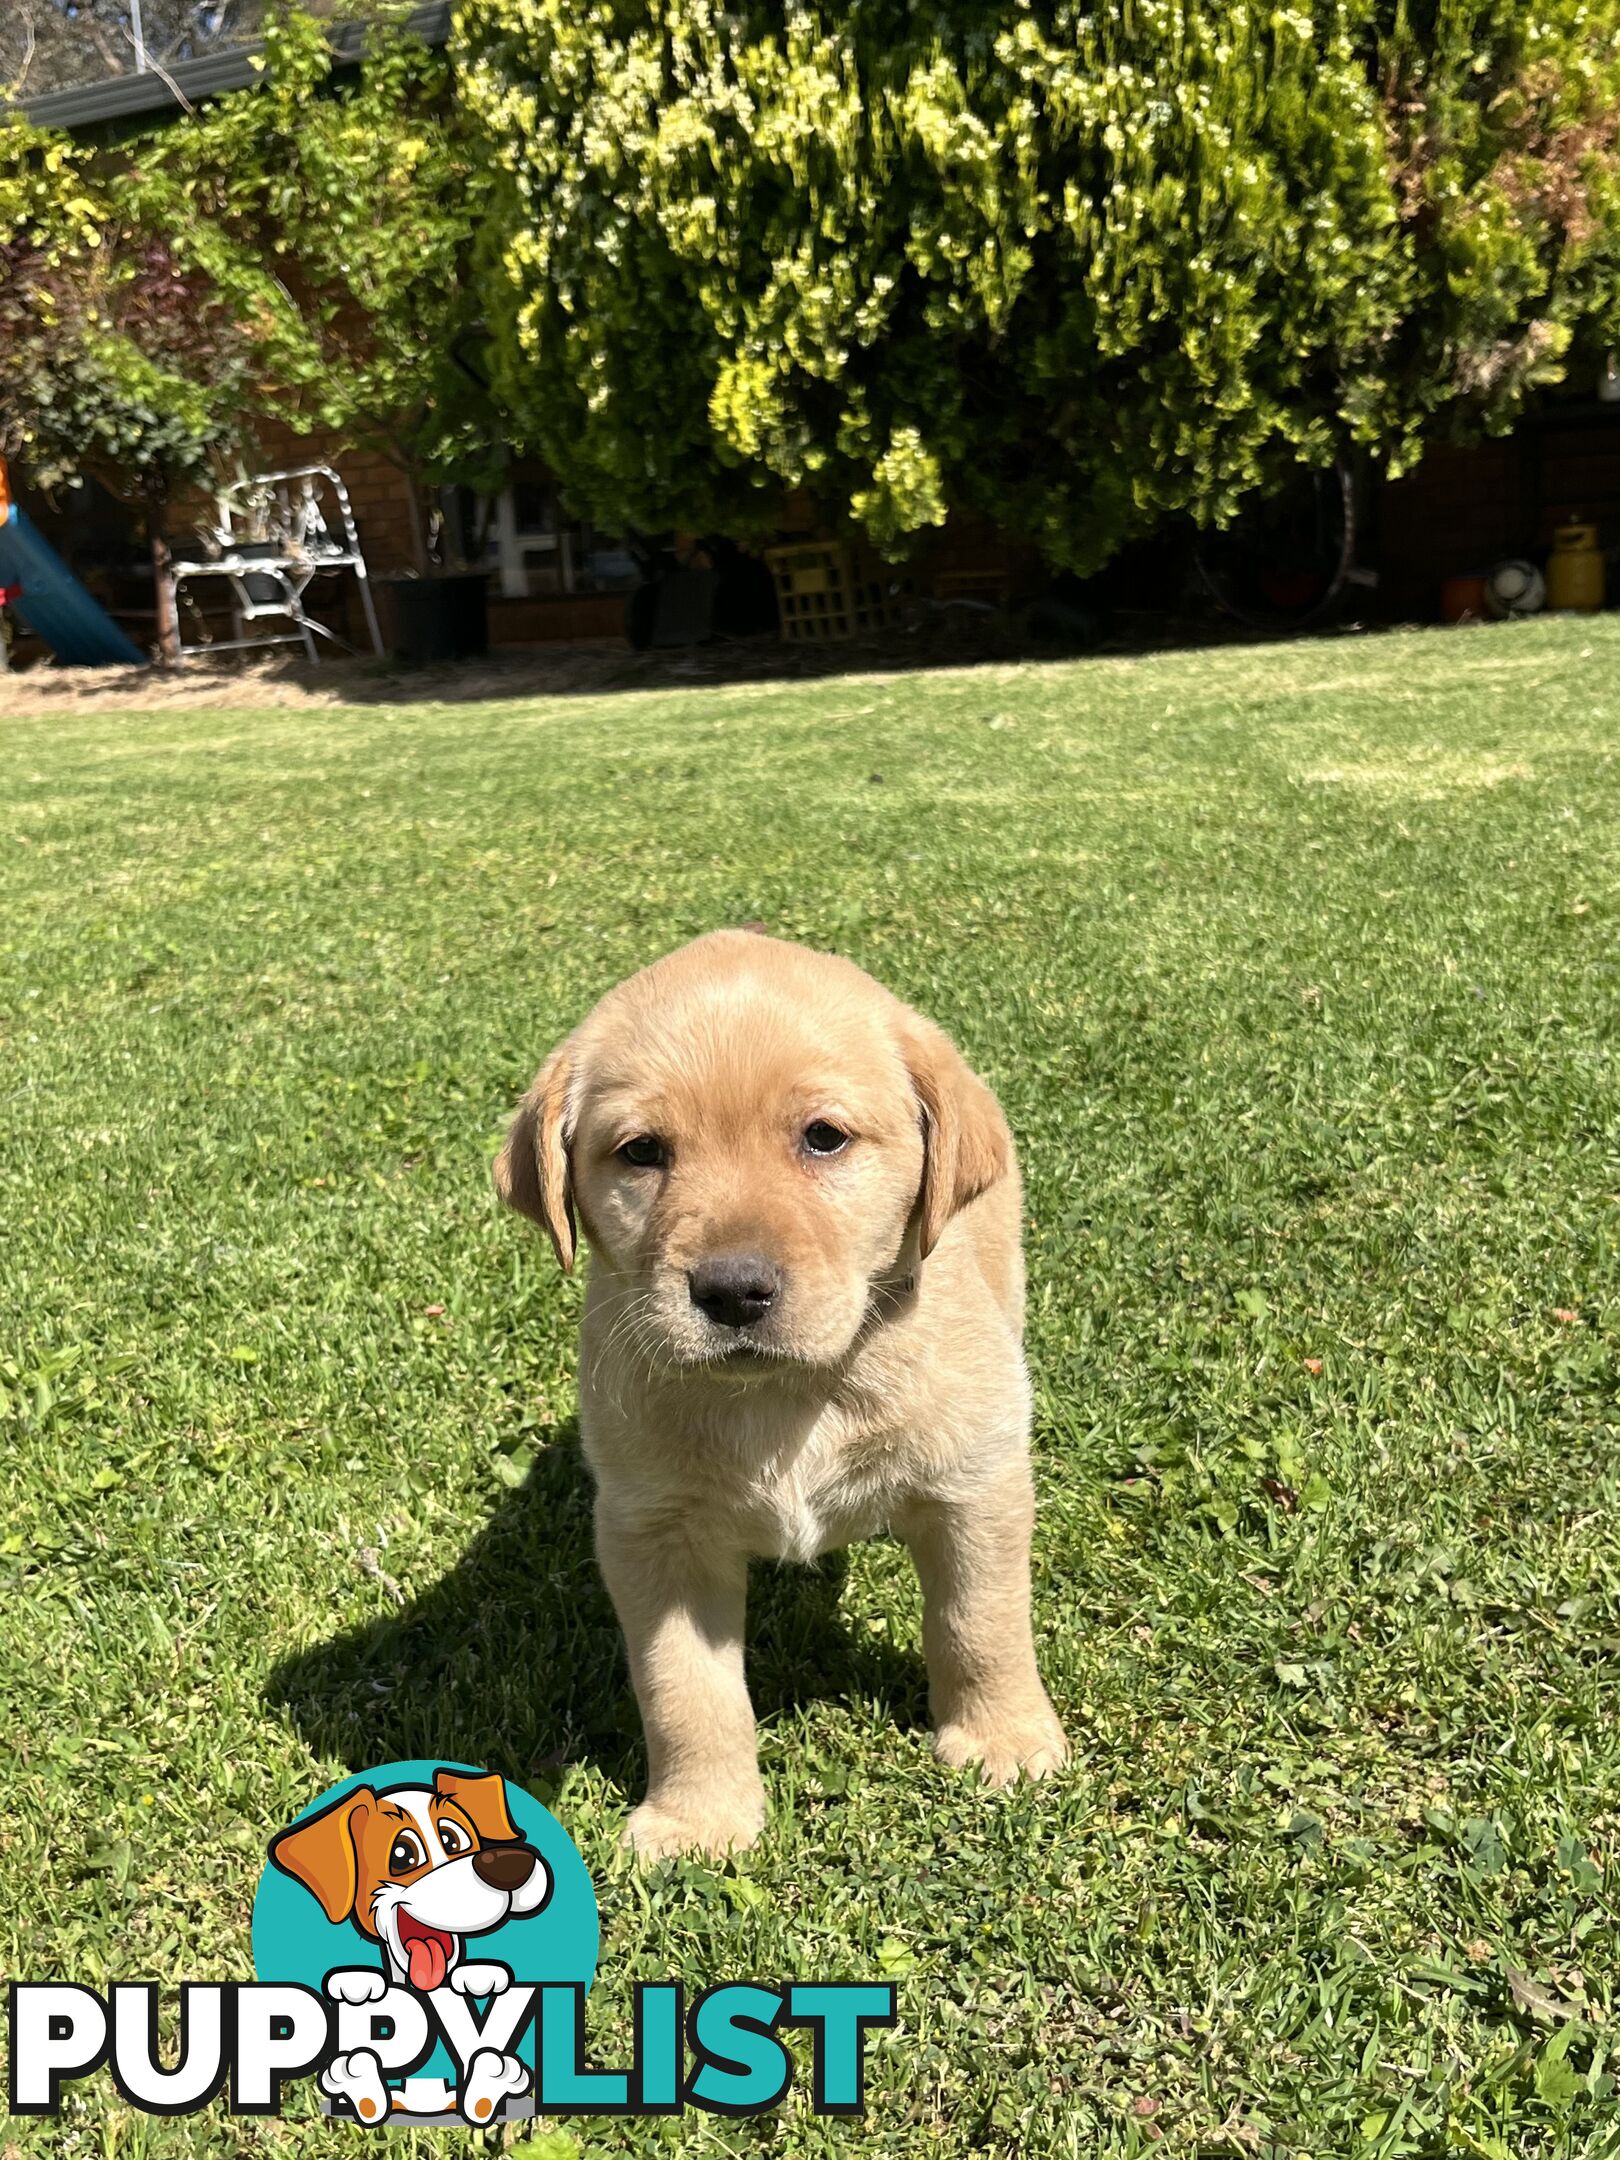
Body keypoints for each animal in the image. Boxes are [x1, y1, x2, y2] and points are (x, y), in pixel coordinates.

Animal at [501, 928, 1071, 1857]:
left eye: (824, 1138)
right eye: (642, 1152)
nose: (732, 1291)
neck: (787, 1394)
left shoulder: (974, 1483)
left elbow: (979, 1621)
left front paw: (1005, 1740)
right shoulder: (654, 1533)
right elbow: (685, 1688)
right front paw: (699, 1820)